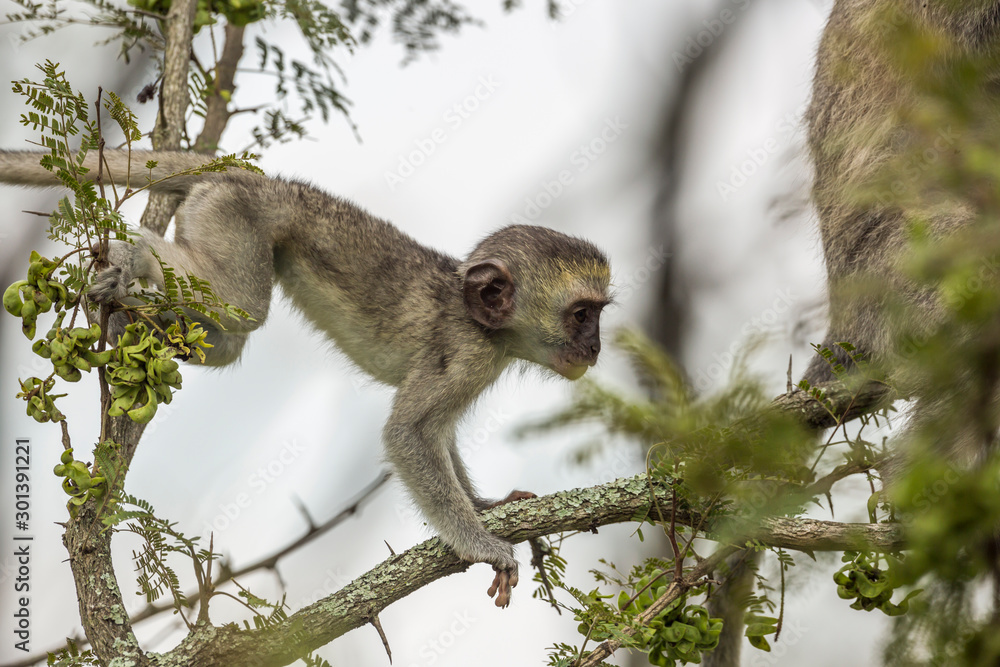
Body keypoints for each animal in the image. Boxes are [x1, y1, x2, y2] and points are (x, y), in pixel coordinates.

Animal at [0, 149, 611, 607]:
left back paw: (130, 311)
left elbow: (434, 436)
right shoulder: (465, 352)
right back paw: (130, 254)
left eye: (598, 315)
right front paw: (482, 544)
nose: (596, 348)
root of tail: (262, 181)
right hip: (235, 217)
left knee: (228, 339)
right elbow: (409, 435)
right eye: (582, 314)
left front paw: (485, 507)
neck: (481, 319)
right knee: (243, 305)